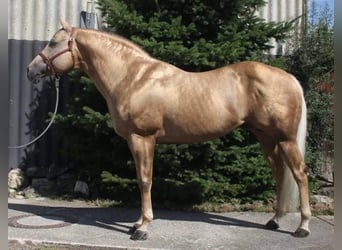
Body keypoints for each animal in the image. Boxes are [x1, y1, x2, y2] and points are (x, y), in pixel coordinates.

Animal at [26, 18, 310, 241]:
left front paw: (143, 228)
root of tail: (289, 78)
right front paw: (137, 224)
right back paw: (275, 220)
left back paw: (302, 227)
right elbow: (141, 179)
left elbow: (145, 180)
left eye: (54, 43)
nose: (31, 70)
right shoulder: (134, 141)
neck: (133, 77)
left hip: (286, 139)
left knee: (299, 174)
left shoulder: (143, 138)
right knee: (279, 174)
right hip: (266, 138)